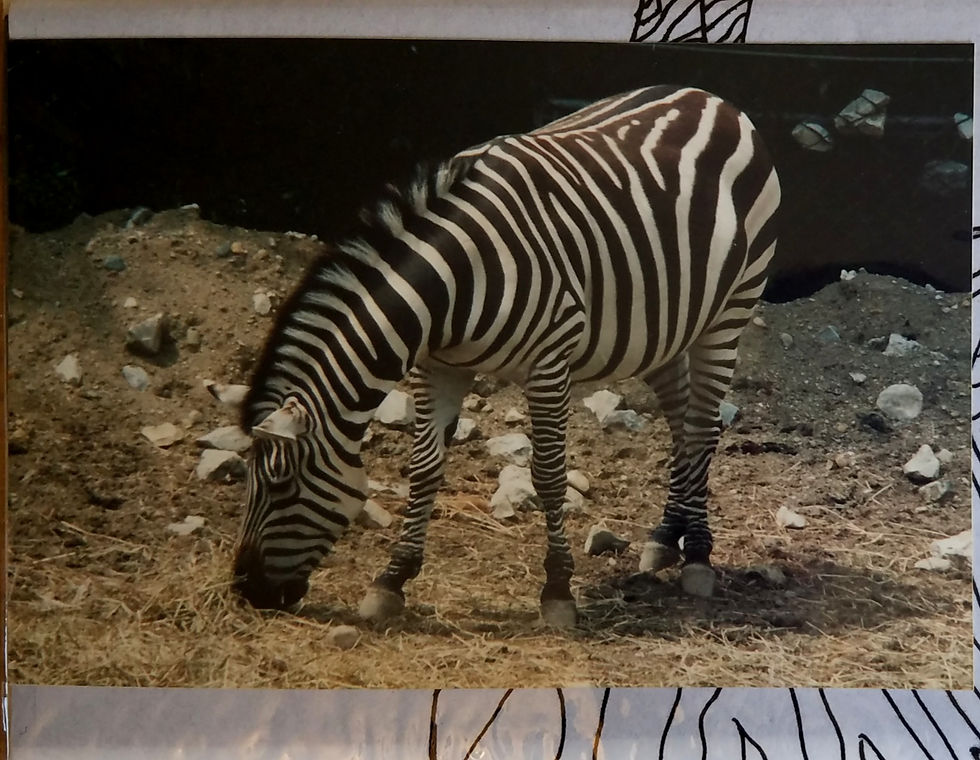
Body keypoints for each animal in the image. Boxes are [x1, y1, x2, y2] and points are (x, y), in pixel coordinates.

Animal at [232, 85, 780, 627]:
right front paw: (391, 581)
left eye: (281, 486)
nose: (245, 591)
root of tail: (709, 97)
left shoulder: (549, 362)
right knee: (682, 424)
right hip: (661, 327)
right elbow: (424, 467)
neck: (453, 285)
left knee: (702, 427)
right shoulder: (439, 366)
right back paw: (666, 538)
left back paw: (698, 556)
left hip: (731, 309)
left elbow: (549, 475)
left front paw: (557, 591)